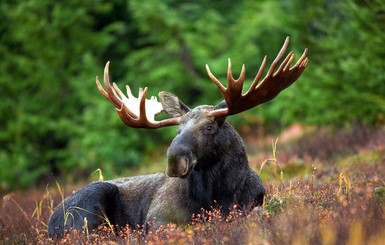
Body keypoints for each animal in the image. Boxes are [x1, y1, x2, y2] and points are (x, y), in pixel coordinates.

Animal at [48, 37, 308, 236]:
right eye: (178, 130)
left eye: (209, 127)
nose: (174, 160)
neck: (218, 193)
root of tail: (50, 223)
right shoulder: (158, 217)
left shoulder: (253, 203)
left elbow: (257, 213)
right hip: (89, 205)